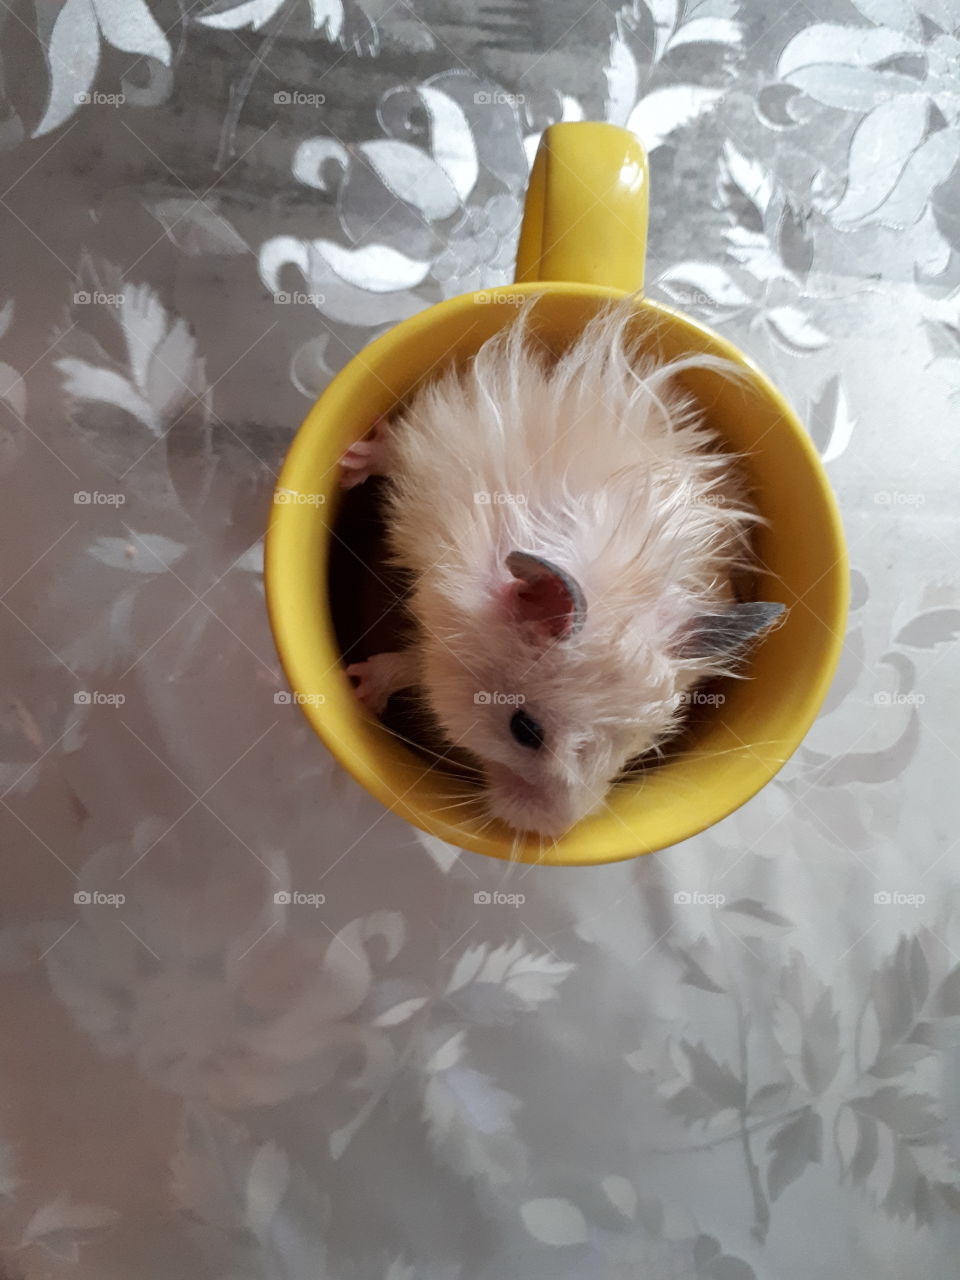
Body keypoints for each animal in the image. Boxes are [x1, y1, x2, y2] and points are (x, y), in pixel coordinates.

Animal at [343, 299, 783, 839]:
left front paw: (360, 684)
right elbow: (411, 663)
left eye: (641, 740)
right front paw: (356, 686)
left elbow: (416, 666)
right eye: (524, 730)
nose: (550, 834)